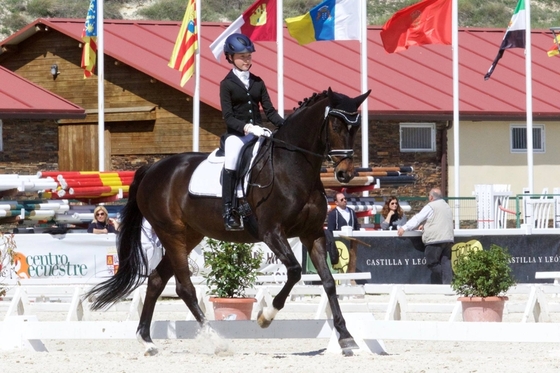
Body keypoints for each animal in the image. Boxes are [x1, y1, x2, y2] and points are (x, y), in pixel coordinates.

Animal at [85, 86, 370, 354]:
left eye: (356, 128)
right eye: (335, 125)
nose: (345, 174)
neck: (293, 167)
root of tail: (152, 169)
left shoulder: (312, 234)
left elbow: (329, 282)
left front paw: (346, 338)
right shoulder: (271, 233)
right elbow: (294, 271)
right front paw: (265, 317)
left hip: (190, 235)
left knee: (156, 280)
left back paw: (147, 340)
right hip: (171, 232)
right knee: (184, 287)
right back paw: (216, 340)